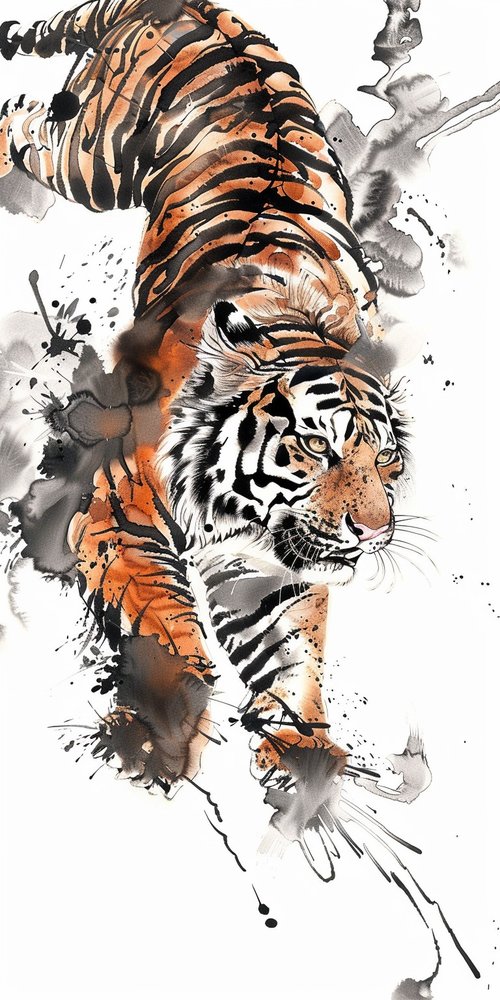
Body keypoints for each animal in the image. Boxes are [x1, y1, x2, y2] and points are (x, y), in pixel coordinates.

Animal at [0, 0, 408, 856]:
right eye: (315, 446)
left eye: (387, 462)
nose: (372, 532)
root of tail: (200, 9)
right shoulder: (115, 511)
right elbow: (161, 621)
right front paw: (161, 733)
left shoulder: (267, 566)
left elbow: (293, 650)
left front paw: (303, 759)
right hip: (90, 159)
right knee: (20, 119)